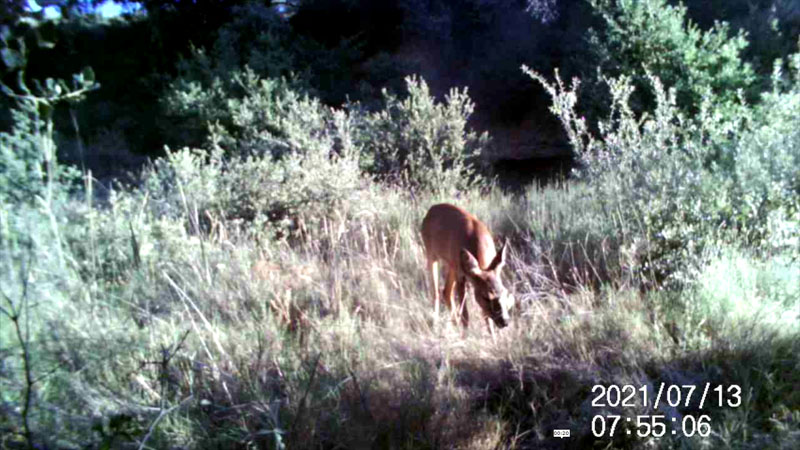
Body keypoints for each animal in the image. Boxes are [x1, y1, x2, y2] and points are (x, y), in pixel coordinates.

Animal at [422, 204, 516, 338]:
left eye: (505, 292)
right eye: (486, 297)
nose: (505, 321)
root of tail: (430, 210)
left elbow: (487, 318)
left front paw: (493, 339)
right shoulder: (461, 276)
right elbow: (466, 315)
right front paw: (465, 336)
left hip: (452, 265)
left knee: (446, 291)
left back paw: (454, 324)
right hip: (431, 253)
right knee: (435, 292)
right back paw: (436, 325)